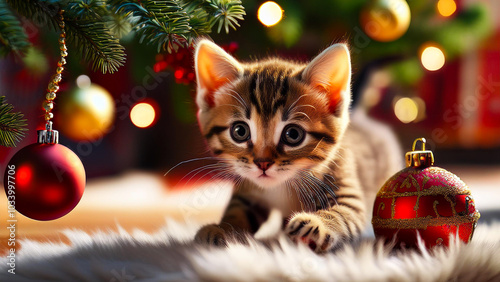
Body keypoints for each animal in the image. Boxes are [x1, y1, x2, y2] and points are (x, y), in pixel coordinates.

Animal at [192, 39, 402, 251]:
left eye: (293, 134)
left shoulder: (347, 190)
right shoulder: (247, 188)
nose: (262, 163)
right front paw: (221, 228)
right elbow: (236, 211)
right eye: (240, 131)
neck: (282, 187)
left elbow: (343, 214)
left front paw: (317, 224)